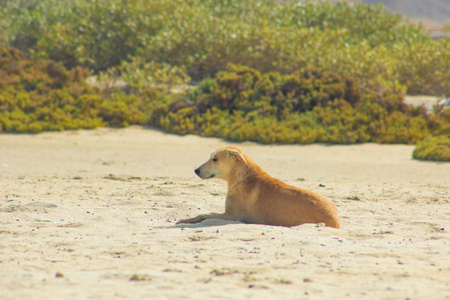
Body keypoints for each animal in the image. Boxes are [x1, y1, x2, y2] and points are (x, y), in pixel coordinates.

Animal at [178, 146, 340, 229]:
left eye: (215, 159)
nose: (196, 170)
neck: (242, 176)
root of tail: (336, 219)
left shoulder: (232, 216)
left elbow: (203, 215)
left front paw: (185, 220)